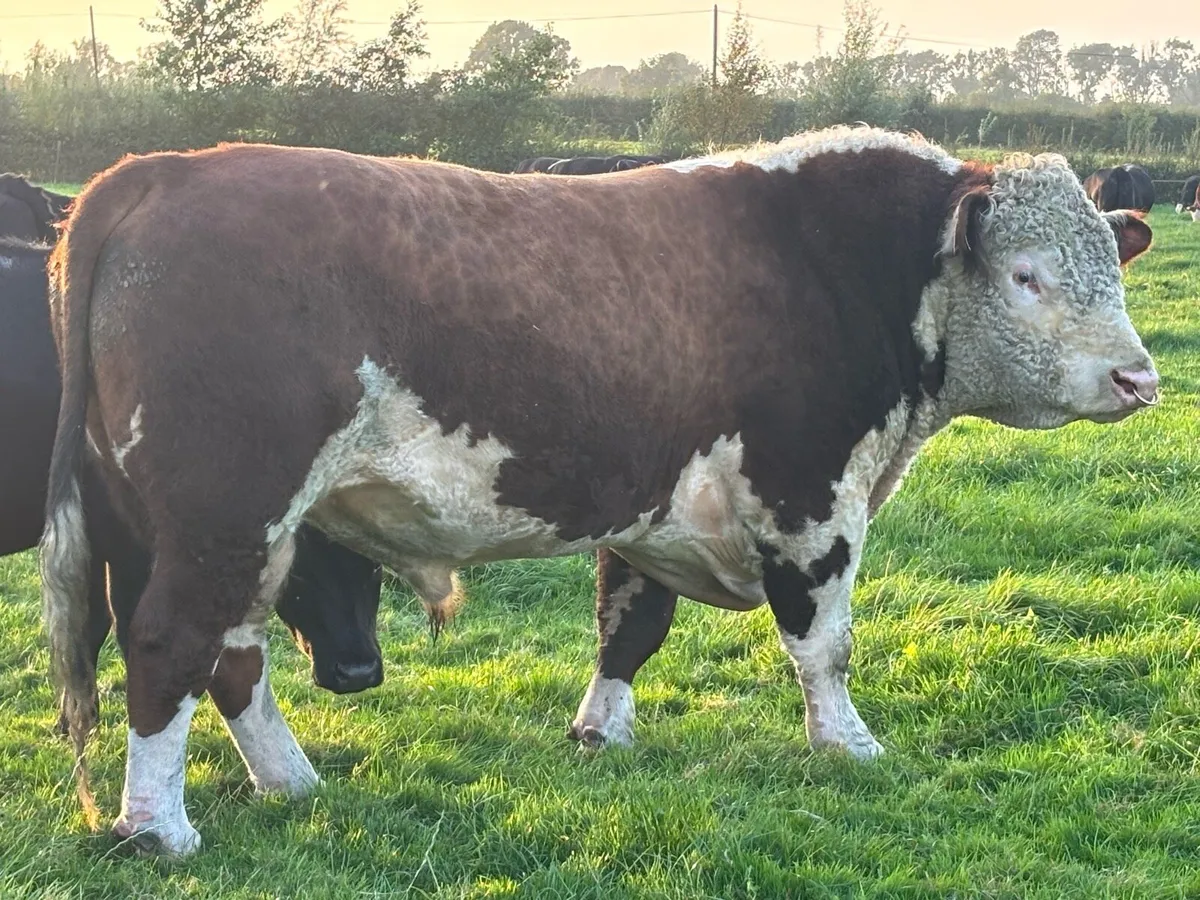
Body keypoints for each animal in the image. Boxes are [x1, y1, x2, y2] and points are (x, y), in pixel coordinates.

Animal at [42, 126, 1158, 856]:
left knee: (233, 653)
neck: (842, 266)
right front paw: (848, 746)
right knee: (170, 644)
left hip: (215, 526)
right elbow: (824, 646)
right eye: (1026, 275)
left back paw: (289, 782)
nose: (1138, 378)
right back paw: (158, 828)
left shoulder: (651, 500)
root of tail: (161, 170)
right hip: (225, 512)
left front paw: (601, 731)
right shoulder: (809, 500)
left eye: (1113, 264)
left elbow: (629, 623)